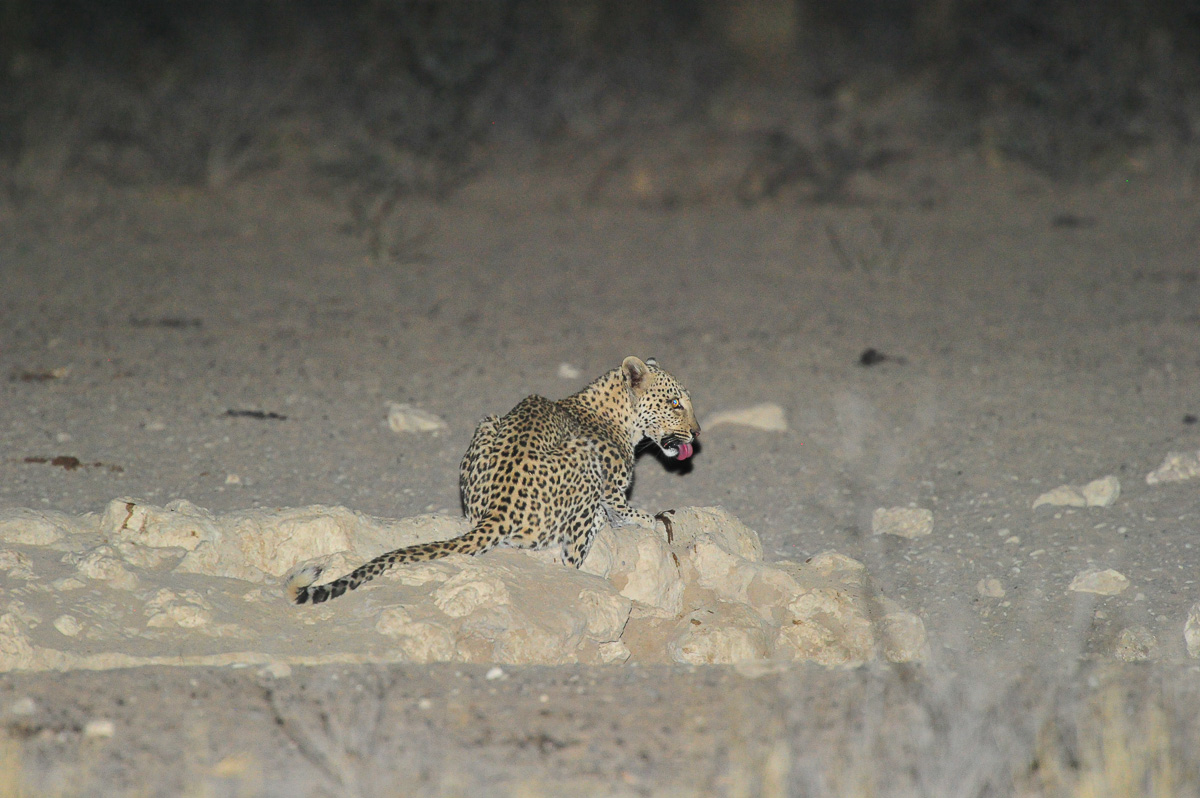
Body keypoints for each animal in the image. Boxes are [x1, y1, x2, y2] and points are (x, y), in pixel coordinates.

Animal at [288, 356, 700, 605]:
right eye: (675, 403)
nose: (696, 433)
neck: (618, 416)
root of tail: (498, 511)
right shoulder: (613, 489)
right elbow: (628, 512)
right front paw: (653, 519)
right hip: (580, 468)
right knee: (570, 557)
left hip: (486, 423)